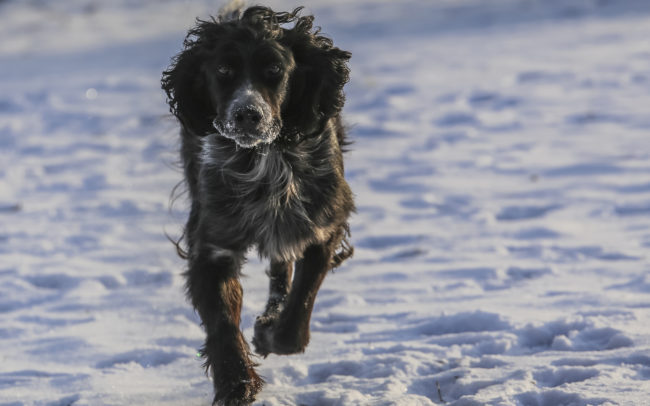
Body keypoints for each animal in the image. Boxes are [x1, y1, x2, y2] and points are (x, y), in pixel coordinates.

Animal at [162, 6, 354, 406]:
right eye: (222, 70)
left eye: (275, 70)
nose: (247, 114)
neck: (264, 158)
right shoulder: (213, 242)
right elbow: (221, 319)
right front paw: (236, 381)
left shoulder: (323, 222)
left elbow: (300, 306)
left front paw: (270, 333)